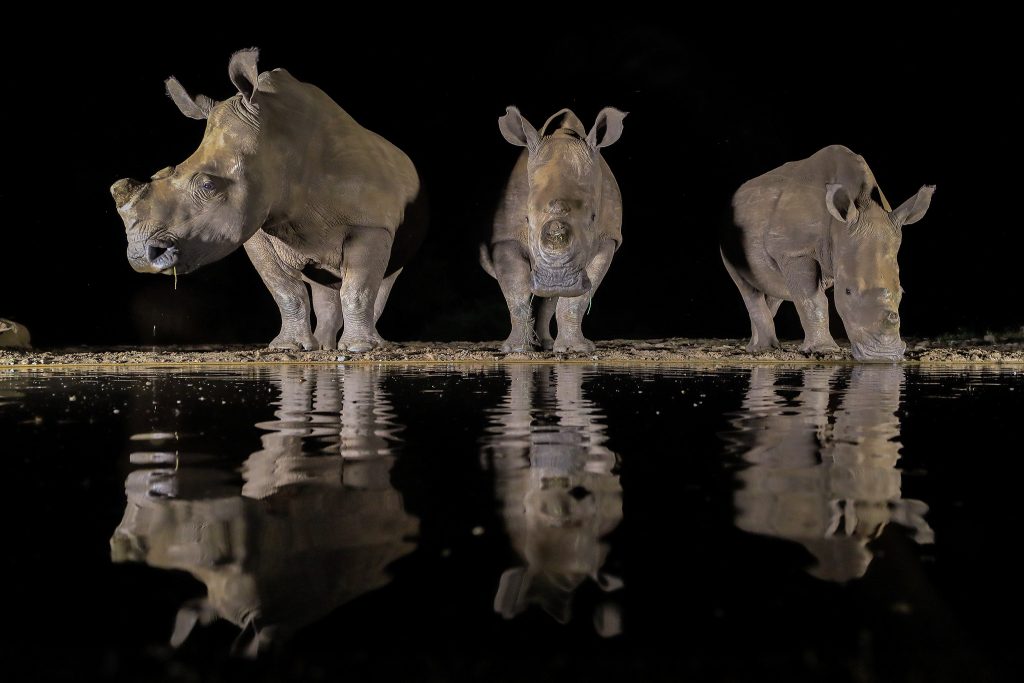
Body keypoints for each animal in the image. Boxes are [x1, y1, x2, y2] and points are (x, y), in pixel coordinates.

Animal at [110, 49, 426, 352]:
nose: (140, 257)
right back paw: (324, 346)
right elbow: (285, 290)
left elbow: (358, 290)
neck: (278, 145)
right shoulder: (256, 231)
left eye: (208, 185)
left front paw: (360, 349)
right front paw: (289, 347)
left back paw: (373, 344)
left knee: (382, 280)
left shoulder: (370, 225)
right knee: (324, 286)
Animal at [480, 106, 626, 353]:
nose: (556, 279)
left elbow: (576, 299)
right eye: (526, 218)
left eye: (593, 218)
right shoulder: (505, 238)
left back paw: (547, 344)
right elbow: (516, 292)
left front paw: (575, 349)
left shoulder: (608, 238)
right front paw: (515, 350)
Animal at [721, 145, 934, 361]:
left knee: (775, 286)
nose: (883, 356)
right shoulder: (795, 251)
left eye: (902, 292)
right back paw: (764, 349)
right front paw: (824, 350)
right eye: (847, 291)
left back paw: (757, 347)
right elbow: (811, 299)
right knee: (748, 287)